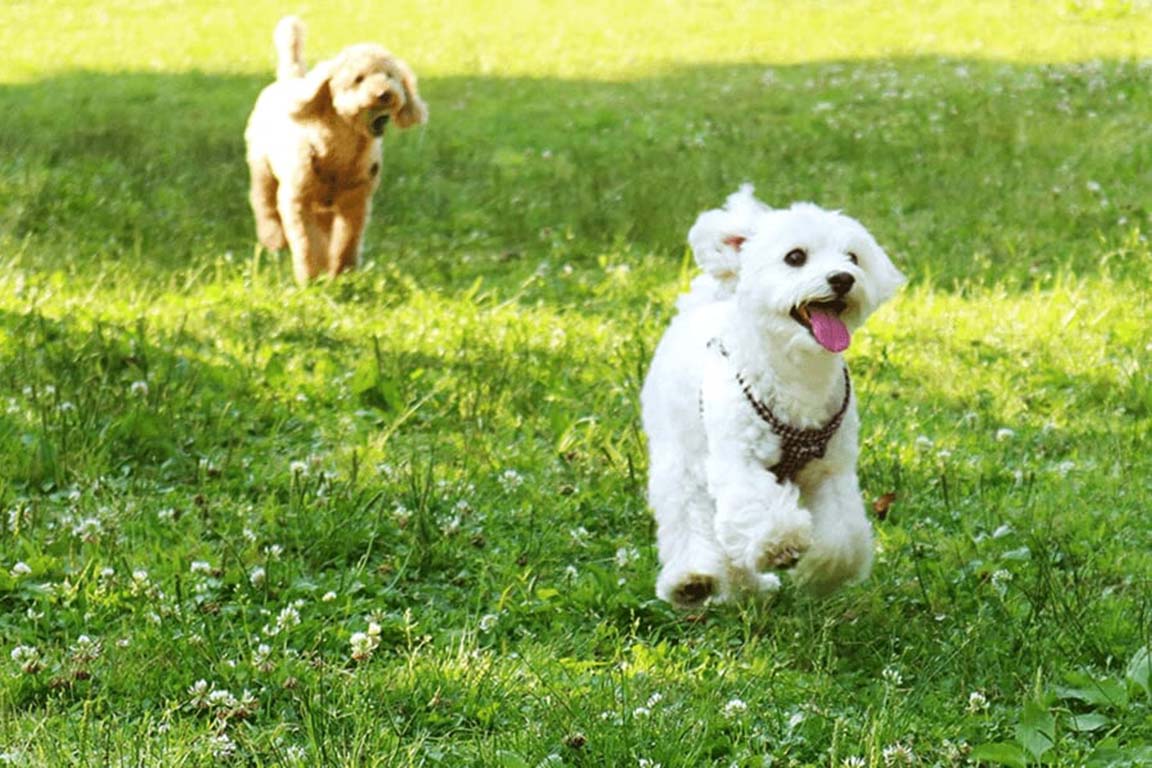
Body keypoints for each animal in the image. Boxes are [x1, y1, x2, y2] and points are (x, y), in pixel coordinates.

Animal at [645, 184, 903, 607]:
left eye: (853, 257)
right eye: (795, 257)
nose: (843, 278)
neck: (797, 373)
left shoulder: (831, 469)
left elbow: (842, 535)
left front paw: (820, 571)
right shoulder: (739, 460)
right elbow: (757, 505)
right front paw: (782, 543)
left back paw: (746, 588)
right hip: (679, 449)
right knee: (686, 511)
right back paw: (692, 578)